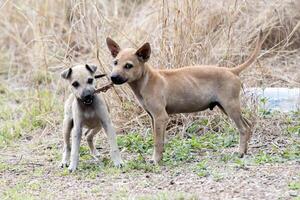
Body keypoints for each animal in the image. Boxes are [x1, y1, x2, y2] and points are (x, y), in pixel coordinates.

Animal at [105, 32, 262, 164]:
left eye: (128, 66)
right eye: (115, 62)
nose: (112, 77)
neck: (146, 80)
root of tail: (232, 70)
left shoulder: (161, 117)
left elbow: (157, 141)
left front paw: (156, 160)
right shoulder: (154, 118)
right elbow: (159, 139)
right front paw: (159, 157)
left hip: (230, 106)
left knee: (243, 128)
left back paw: (240, 152)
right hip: (226, 107)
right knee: (248, 125)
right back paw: (245, 150)